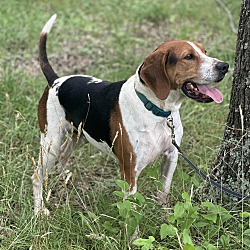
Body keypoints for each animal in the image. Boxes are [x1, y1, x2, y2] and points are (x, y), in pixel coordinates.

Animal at [32, 14, 229, 215]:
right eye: (189, 56)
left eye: (204, 51)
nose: (225, 66)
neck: (156, 111)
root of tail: (56, 81)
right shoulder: (130, 172)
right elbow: (132, 213)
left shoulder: (171, 156)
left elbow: (163, 192)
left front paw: (163, 214)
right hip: (51, 142)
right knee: (37, 176)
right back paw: (39, 210)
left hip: (79, 135)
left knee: (64, 154)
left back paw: (64, 177)